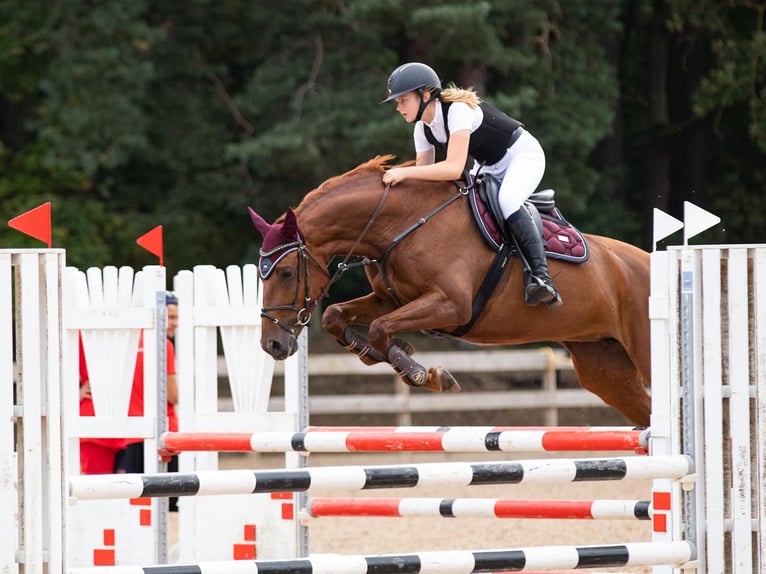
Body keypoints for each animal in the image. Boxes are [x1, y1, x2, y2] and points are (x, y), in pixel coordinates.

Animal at [252, 155, 656, 426]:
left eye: (285, 272)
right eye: (261, 275)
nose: (272, 345)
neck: (400, 223)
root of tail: (648, 262)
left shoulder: (451, 305)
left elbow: (383, 328)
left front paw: (424, 374)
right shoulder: (389, 299)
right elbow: (337, 316)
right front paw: (378, 353)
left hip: (644, 353)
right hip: (604, 369)